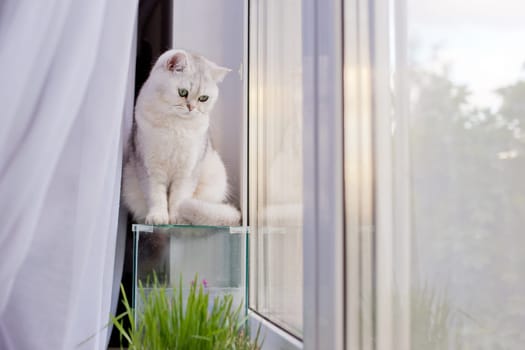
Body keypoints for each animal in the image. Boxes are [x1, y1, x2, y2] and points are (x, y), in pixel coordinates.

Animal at [122, 48, 241, 227]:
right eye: (183, 92)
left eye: (203, 98)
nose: (191, 108)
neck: (176, 126)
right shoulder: (150, 168)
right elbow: (156, 196)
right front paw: (158, 217)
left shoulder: (187, 171)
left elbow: (179, 198)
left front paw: (177, 218)